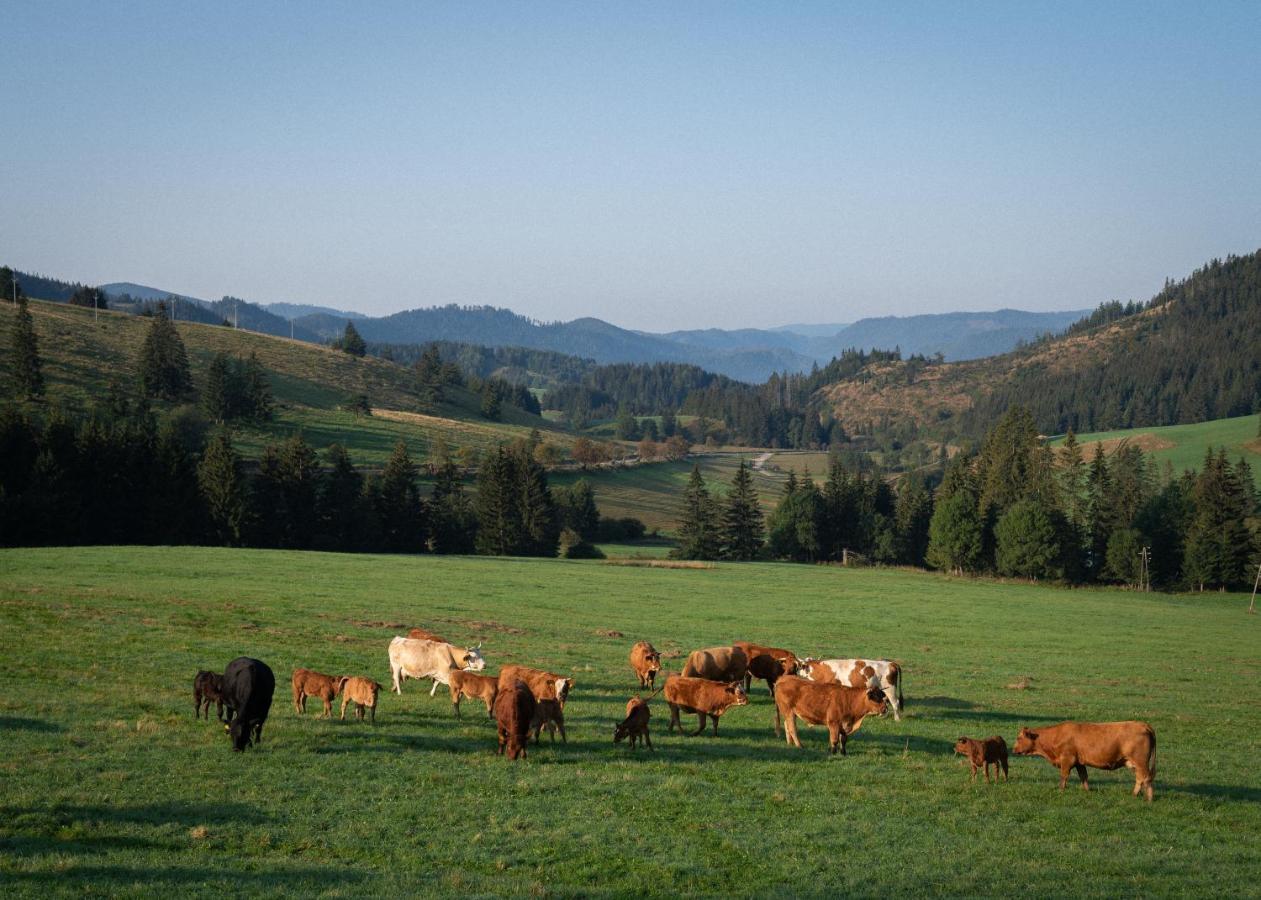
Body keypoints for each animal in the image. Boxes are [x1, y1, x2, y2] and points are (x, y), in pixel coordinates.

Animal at [1013, 715, 1155, 801]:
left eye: (1019, 738)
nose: (1013, 750)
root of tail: (1143, 725)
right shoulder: (1079, 763)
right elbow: (1084, 777)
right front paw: (1087, 791)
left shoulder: (1067, 760)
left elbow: (1064, 776)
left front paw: (1061, 790)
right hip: (1135, 764)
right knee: (1140, 778)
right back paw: (1134, 795)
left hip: (1141, 762)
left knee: (1146, 778)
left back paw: (1149, 798)